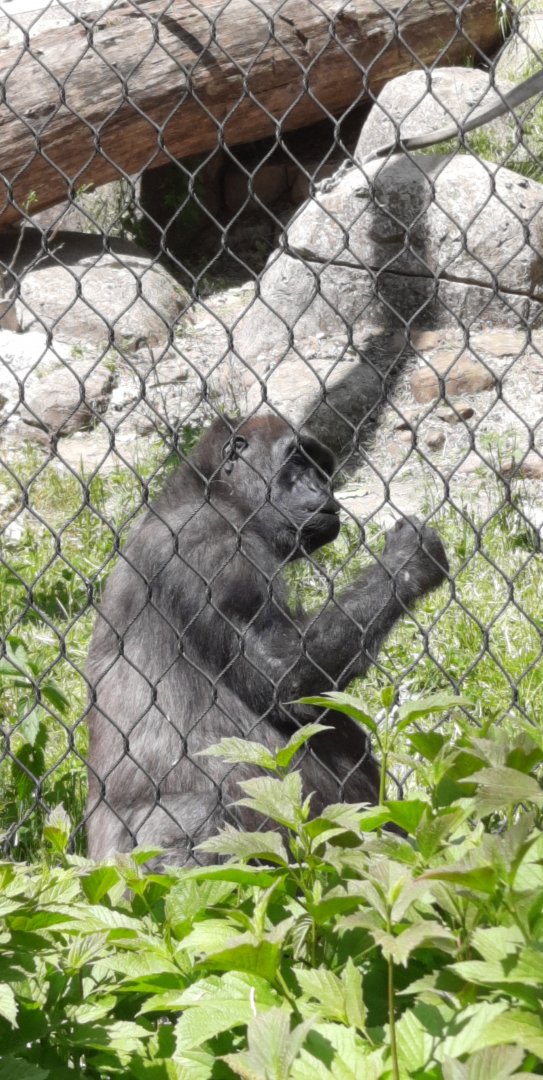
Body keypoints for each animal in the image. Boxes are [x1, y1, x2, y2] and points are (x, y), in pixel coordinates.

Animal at [85, 415, 448, 866]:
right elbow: (285, 676)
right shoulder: (215, 552)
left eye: (321, 467)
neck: (210, 494)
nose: (323, 490)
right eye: (296, 461)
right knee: (195, 820)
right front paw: (408, 560)